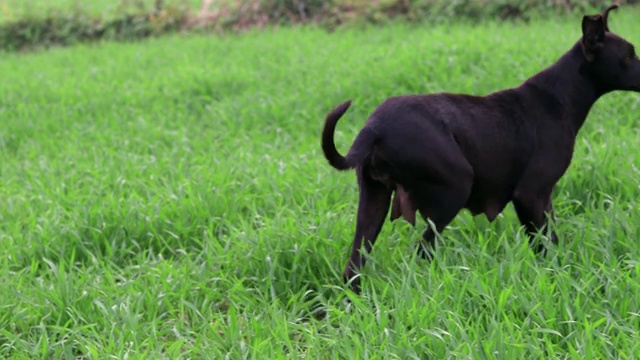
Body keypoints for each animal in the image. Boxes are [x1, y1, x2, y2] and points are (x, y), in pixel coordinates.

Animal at [320, 4, 640, 294]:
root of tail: (374, 127)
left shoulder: (544, 198)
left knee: (354, 266)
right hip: (453, 189)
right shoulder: (530, 194)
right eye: (629, 55)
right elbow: (544, 246)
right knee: (422, 253)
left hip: (373, 203)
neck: (561, 95)